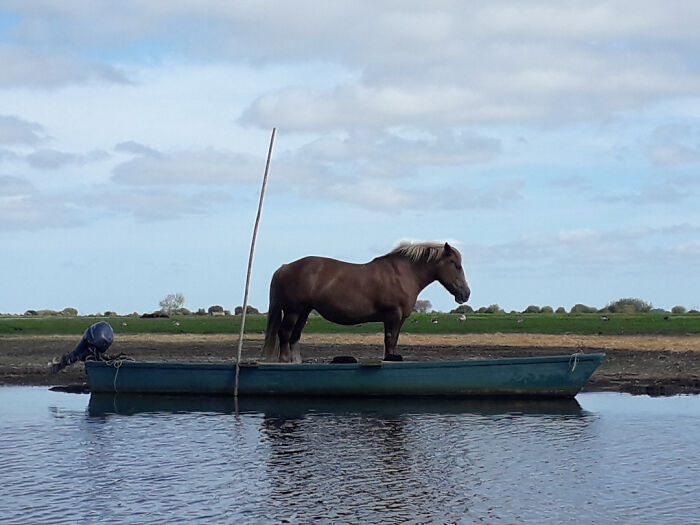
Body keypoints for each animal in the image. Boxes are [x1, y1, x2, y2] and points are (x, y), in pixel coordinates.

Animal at [262, 241, 470, 360]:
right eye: (457, 265)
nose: (465, 294)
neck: (402, 274)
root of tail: (285, 267)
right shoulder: (393, 316)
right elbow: (390, 342)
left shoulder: (398, 319)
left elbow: (393, 342)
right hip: (293, 311)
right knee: (284, 334)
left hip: (304, 311)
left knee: (294, 337)